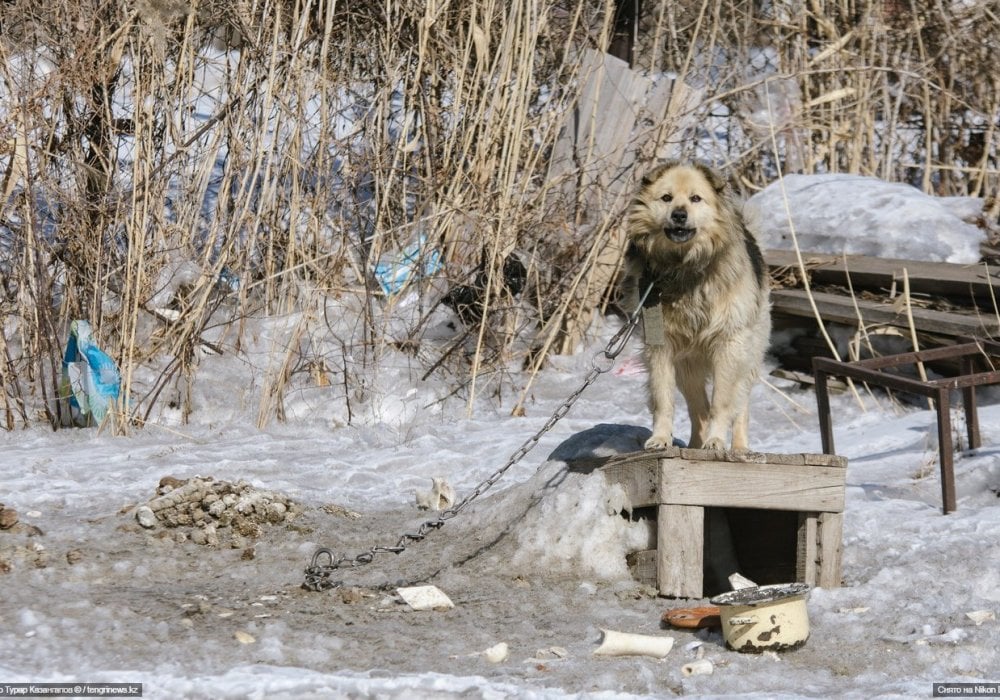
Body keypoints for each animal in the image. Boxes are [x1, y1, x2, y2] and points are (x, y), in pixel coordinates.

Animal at [620, 161, 768, 452]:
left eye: (696, 198)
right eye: (666, 198)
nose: (679, 215)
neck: (684, 268)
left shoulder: (729, 344)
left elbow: (723, 402)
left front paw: (716, 441)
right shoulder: (660, 345)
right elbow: (663, 399)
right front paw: (661, 438)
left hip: (748, 352)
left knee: (740, 404)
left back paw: (739, 448)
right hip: (687, 368)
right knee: (698, 409)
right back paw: (693, 445)